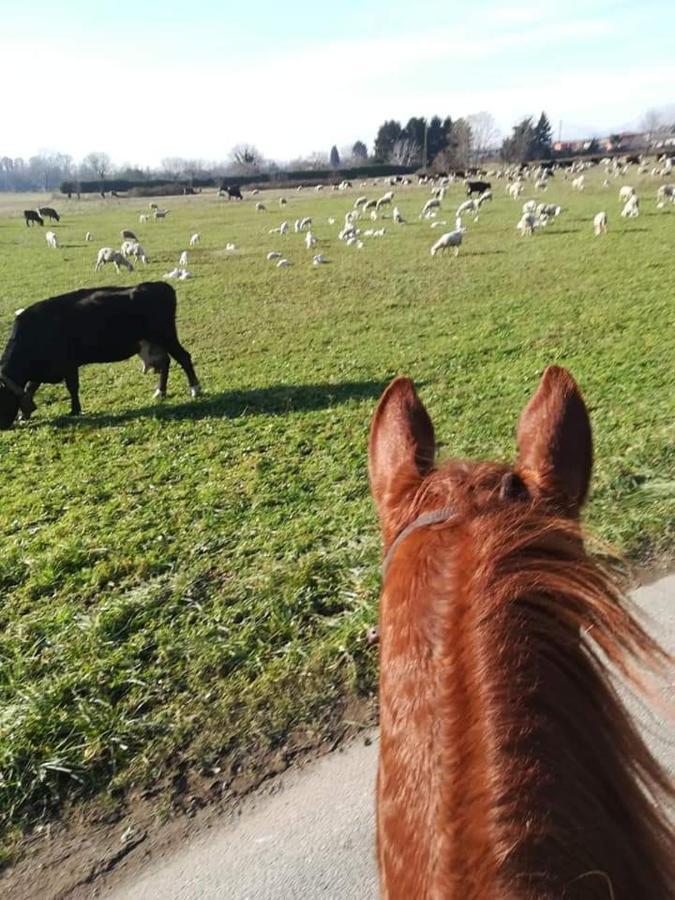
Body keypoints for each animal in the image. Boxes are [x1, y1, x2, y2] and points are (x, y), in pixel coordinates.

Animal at [0, 282, 201, 428]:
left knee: (184, 358)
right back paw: (160, 392)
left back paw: (195, 389)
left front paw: (75, 411)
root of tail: (161, 286)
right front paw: (23, 415)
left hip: (166, 336)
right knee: (166, 362)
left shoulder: (69, 364)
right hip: (156, 342)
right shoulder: (43, 371)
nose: (3, 426)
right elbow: (30, 388)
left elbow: (72, 387)